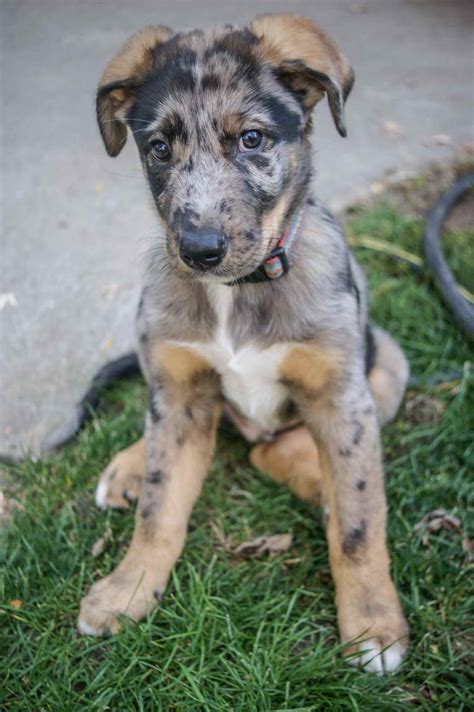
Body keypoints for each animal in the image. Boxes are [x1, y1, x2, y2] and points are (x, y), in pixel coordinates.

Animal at [78, 15, 412, 672]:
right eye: (158, 149)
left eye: (252, 139)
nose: (198, 250)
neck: (237, 292)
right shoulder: (181, 390)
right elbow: (159, 507)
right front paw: (127, 590)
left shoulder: (342, 398)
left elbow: (360, 522)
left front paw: (374, 624)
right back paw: (129, 466)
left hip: (386, 367)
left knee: (278, 453)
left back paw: (320, 486)